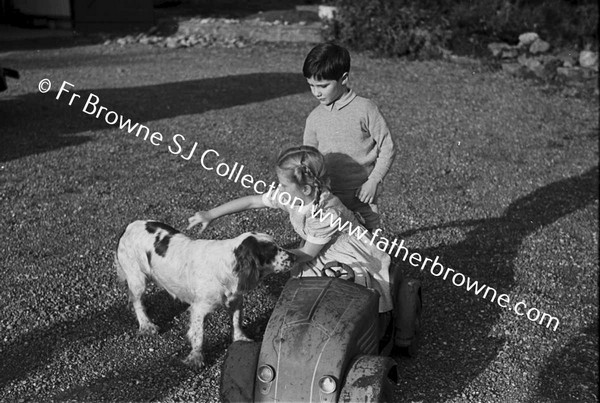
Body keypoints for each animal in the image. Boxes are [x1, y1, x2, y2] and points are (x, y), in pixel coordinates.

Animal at [114, 221, 292, 370]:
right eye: (272, 250)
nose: (295, 257)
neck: (227, 266)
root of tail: (128, 227)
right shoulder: (199, 309)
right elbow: (198, 335)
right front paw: (195, 358)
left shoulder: (235, 300)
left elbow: (236, 322)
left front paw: (240, 339)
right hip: (137, 279)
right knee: (137, 302)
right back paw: (146, 325)